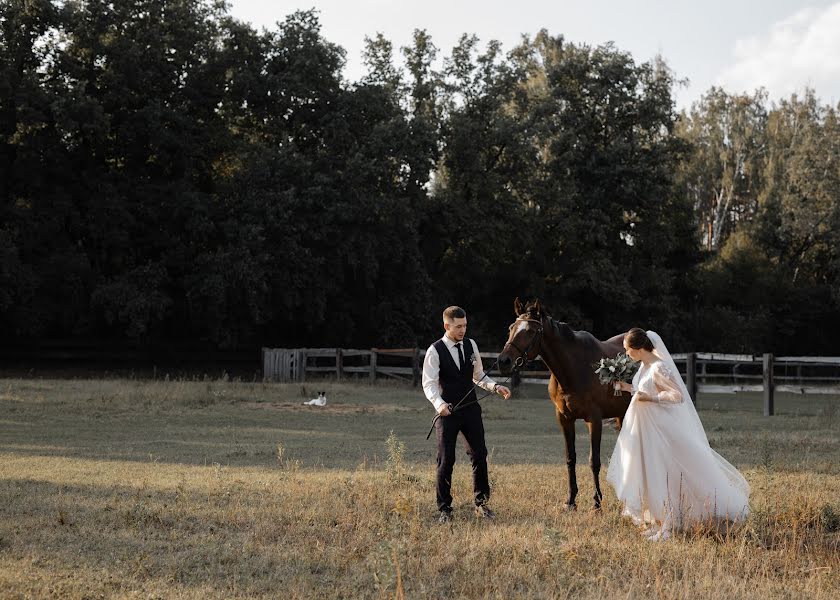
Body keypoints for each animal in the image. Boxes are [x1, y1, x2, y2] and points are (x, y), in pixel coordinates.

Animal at [498, 298, 632, 508]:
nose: (503, 361)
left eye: (530, 331)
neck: (574, 368)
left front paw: (596, 501)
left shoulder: (594, 419)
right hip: (621, 414)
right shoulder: (564, 418)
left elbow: (594, 461)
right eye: (511, 328)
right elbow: (570, 458)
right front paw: (571, 500)